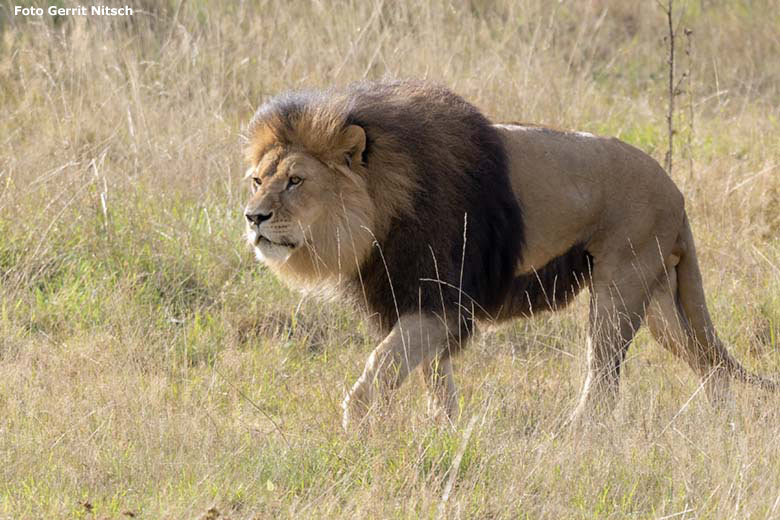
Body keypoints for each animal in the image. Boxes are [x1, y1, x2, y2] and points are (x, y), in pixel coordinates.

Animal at [242, 80, 772, 430]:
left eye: (296, 181)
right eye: (257, 180)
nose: (252, 218)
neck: (382, 207)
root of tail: (675, 191)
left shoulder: (437, 297)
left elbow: (383, 364)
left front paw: (356, 427)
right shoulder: (417, 299)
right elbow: (433, 375)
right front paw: (445, 429)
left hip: (619, 287)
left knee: (603, 377)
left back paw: (577, 432)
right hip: (660, 300)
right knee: (707, 364)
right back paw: (722, 422)